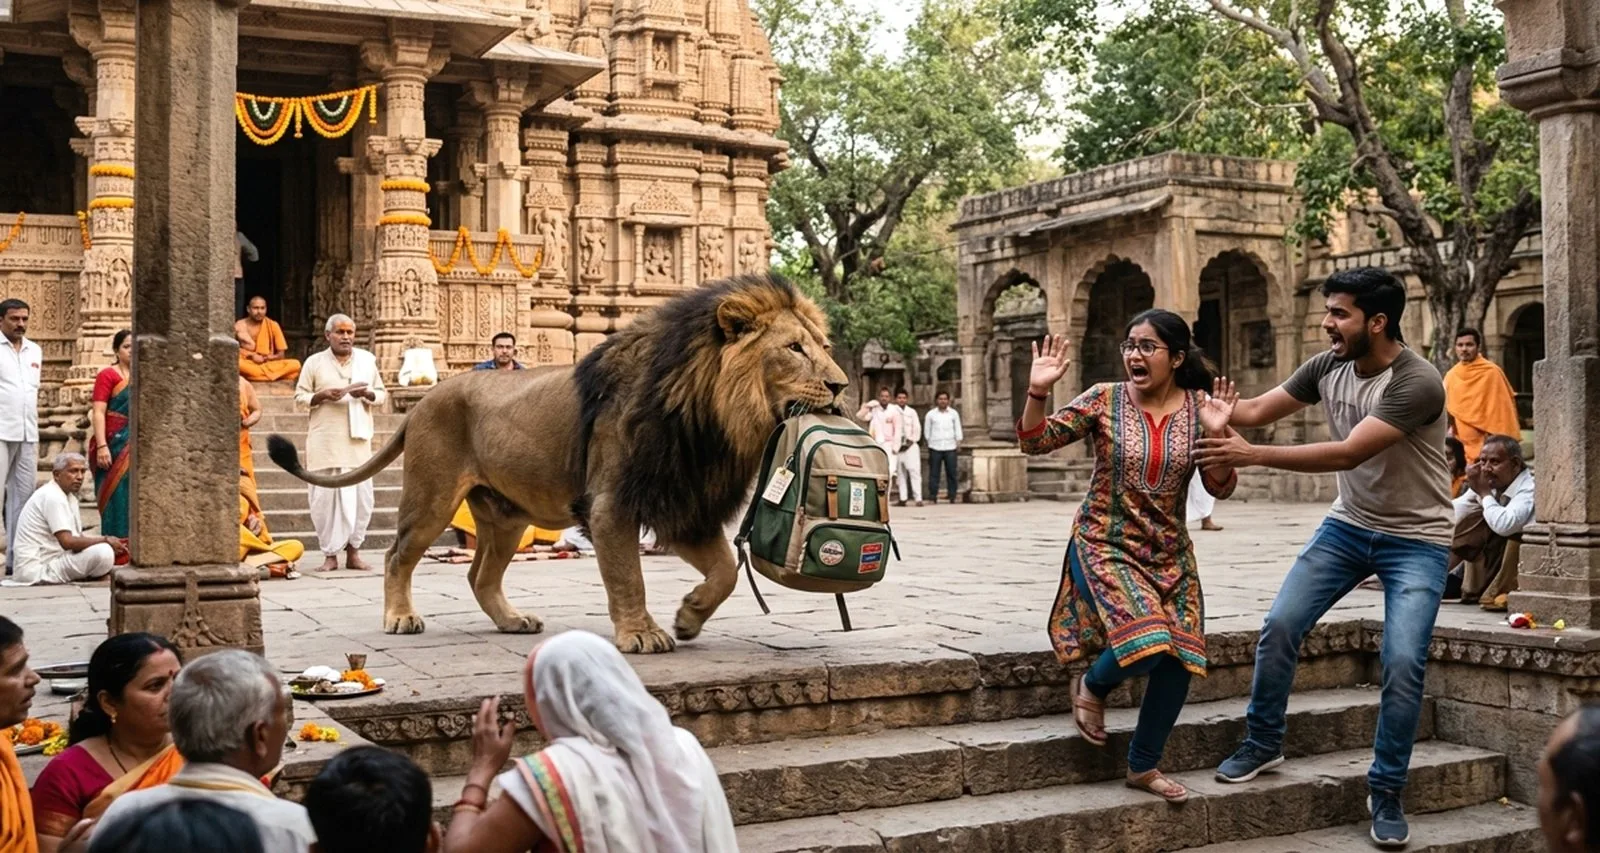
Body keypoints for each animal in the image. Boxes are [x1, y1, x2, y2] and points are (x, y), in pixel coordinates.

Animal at [267, 275, 847, 653]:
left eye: (823, 344)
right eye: (794, 349)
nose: (842, 385)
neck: (710, 418)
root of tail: (427, 398)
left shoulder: (680, 501)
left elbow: (726, 571)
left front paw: (687, 618)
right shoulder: (612, 505)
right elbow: (627, 576)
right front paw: (642, 634)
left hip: (505, 515)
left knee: (479, 574)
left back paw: (512, 621)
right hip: (432, 497)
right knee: (397, 556)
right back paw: (401, 617)